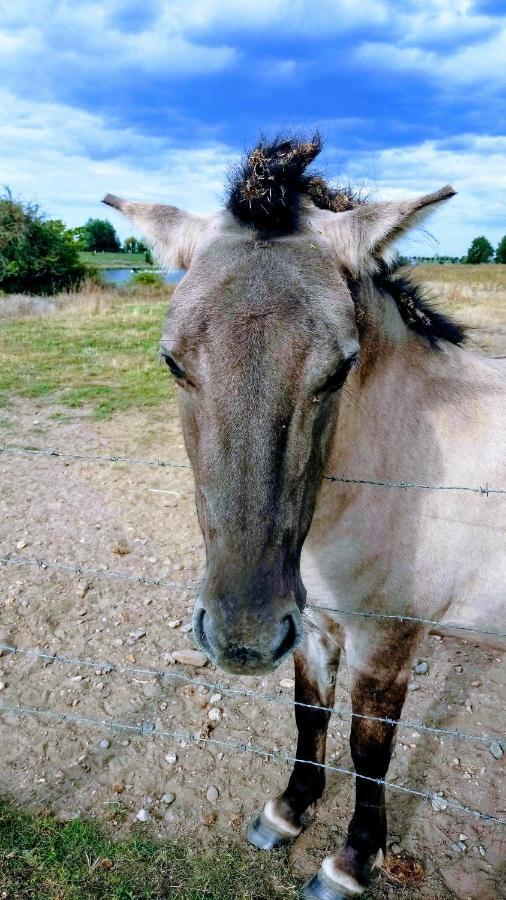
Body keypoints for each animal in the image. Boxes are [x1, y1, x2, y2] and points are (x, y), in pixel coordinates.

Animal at [105, 135, 504, 900]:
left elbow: (369, 747)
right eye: (172, 362)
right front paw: (287, 812)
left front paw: (350, 863)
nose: (244, 639)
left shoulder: (389, 637)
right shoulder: (314, 622)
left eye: (341, 368)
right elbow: (309, 712)